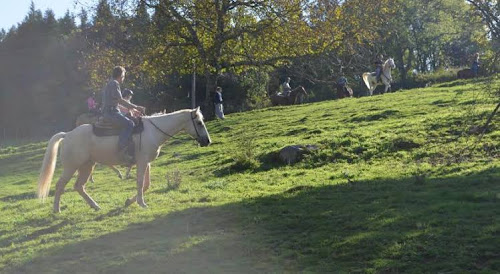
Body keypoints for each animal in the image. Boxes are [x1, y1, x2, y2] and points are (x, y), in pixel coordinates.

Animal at [37, 106, 211, 212]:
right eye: (199, 122)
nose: (207, 141)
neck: (152, 131)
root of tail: (67, 135)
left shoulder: (146, 163)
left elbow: (146, 184)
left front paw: (129, 201)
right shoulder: (142, 162)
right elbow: (140, 183)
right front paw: (142, 203)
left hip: (87, 166)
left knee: (79, 187)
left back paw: (95, 206)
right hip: (71, 167)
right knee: (60, 186)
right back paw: (56, 209)